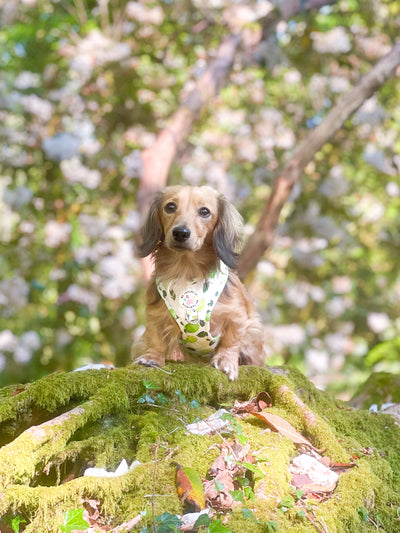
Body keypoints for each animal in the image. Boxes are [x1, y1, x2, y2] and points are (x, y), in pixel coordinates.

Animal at [134, 185, 264, 380]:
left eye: (204, 212)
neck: (186, 272)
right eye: (170, 207)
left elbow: (231, 340)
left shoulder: (238, 317)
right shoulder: (155, 316)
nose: (180, 233)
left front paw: (225, 361)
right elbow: (156, 338)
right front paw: (152, 357)